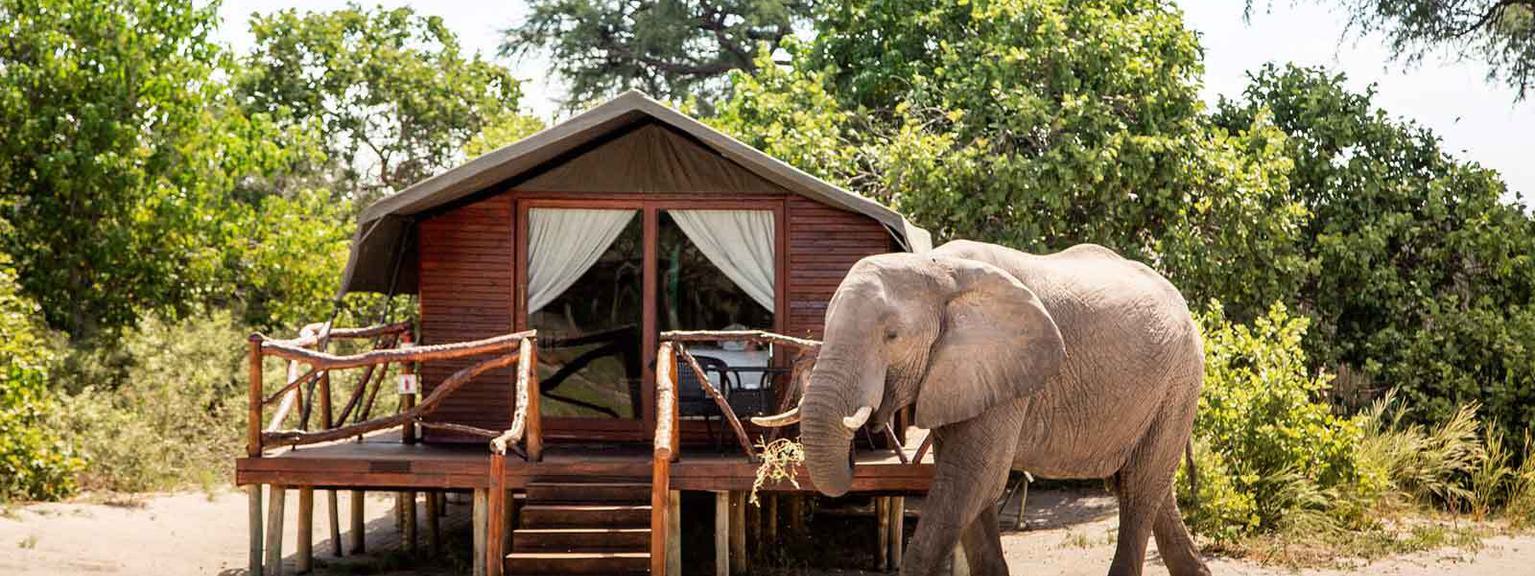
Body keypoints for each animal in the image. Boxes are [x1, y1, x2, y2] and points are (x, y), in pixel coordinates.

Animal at [754, 240, 1209, 576]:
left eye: (892, 335)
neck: (937, 268)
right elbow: (971, 493)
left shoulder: (1005, 373)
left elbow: (970, 482)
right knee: (1151, 487)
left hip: (1181, 377)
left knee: (1137, 488)